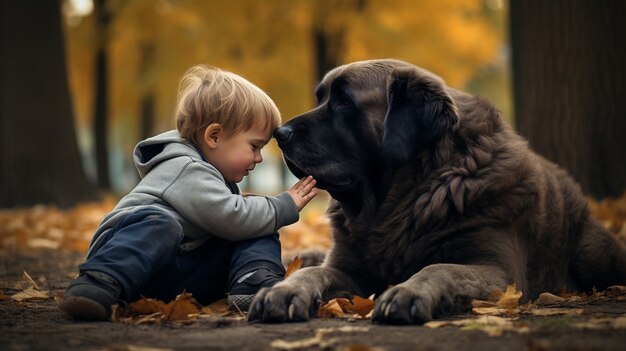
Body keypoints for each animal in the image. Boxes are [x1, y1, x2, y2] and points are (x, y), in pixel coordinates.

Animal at [249, 59, 624, 326]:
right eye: (323, 98)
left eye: (343, 102)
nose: (279, 133)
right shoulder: (350, 269)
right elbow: (313, 271)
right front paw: (284, 290)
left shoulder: (500, 271)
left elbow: (439, 268)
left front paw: (407, 292)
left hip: (593, 255)